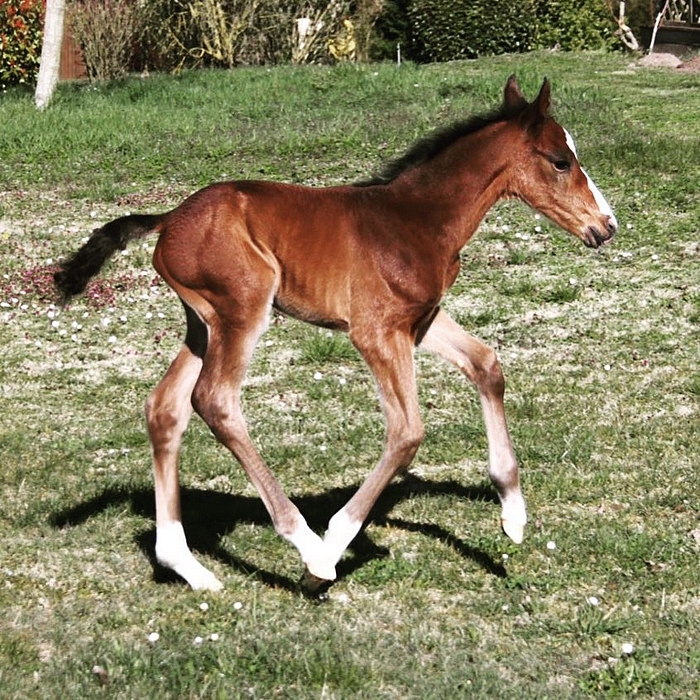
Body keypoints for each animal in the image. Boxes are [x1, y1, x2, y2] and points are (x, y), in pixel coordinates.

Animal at [54, 76, 616, 592]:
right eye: (560, 161)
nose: (606, 226)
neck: (418, 219)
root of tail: (169, 218)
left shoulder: (420, 322)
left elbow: (487, 364)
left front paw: (513, 514)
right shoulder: (374, 331)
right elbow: (408, 431)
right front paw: (332, 544)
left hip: (203, 324)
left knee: (165, 407)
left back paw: (189, 568)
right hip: (243, 308)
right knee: (215, 400)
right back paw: (305, 545)